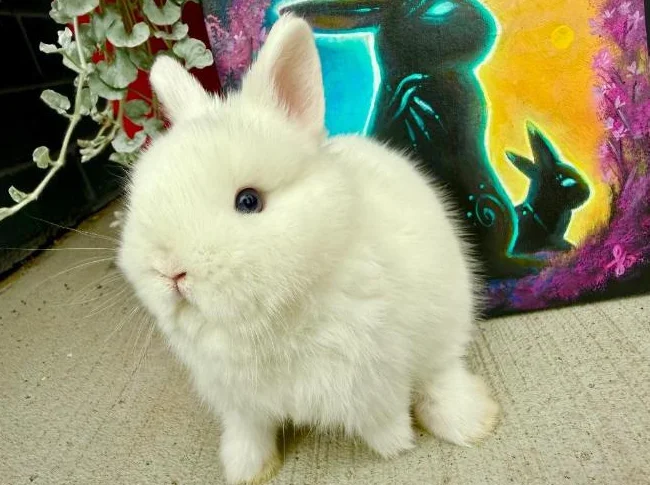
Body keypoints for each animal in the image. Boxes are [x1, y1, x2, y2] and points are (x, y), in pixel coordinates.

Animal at [118, 15, 499, 485]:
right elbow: (250, 433)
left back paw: (474, 421)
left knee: (440, 376)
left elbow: (384, 416)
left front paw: (394, 446)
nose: (170, 271)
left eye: (249, 201)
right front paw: (246, 470)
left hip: (446, 321)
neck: (268, 322)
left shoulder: (374, 377)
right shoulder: (239, 403)